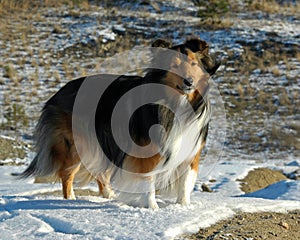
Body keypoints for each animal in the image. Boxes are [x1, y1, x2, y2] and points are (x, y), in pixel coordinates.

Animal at [20, 37, 218, 208]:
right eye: (174, 65)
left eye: (193, 64)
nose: (189, 82)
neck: (177, 103)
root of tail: (59, 91)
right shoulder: (145, 153)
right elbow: (148, 182)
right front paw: (152, 208)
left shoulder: (190, 150)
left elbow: (185, 182)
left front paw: (183, 207)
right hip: (77, 146)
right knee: (67, 174)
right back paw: (71, 199)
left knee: (99, 171)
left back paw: (109, 196)